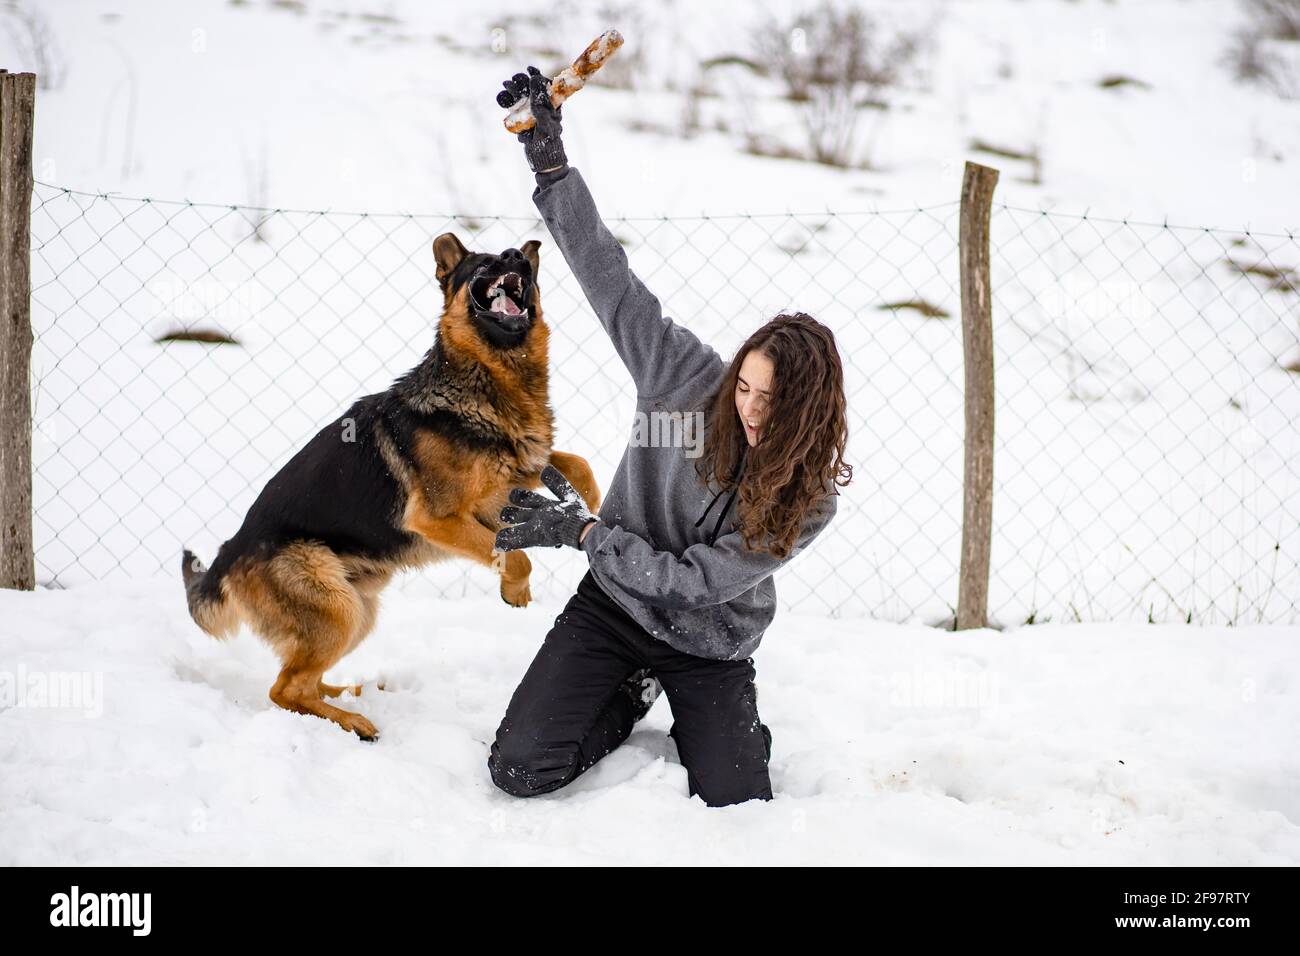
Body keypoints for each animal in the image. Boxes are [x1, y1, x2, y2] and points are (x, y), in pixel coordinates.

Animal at [180, 231, 600, 738]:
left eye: (519, 262)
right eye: (483, 265)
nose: (517, 255)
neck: (487, 380)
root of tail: (230, 552)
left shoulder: (518, 472)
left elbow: (578, 466)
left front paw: (585, 510)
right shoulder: (439, 518)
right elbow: (516, 556)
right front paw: (515, 589)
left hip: (358, 612)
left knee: (300, 682)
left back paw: (350, 694)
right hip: (339, 609)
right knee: (283, 690)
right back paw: (355, 722)